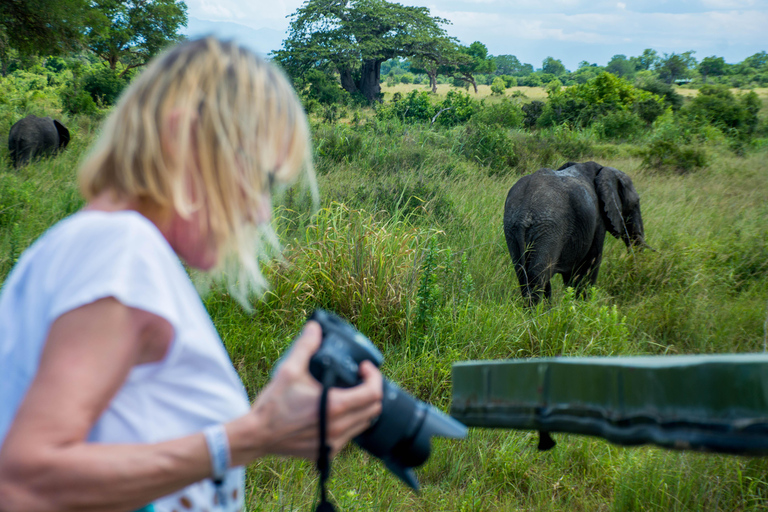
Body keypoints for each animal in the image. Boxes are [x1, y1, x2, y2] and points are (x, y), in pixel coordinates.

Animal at [504, 161, 648, 304]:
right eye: (636, 203)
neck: (603, 171)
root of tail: (524, 213)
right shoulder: (598, 221)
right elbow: (591, 263)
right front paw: (583, 305)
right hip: (549, 229)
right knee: (539, 274)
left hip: (513, 227)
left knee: (522, 273)